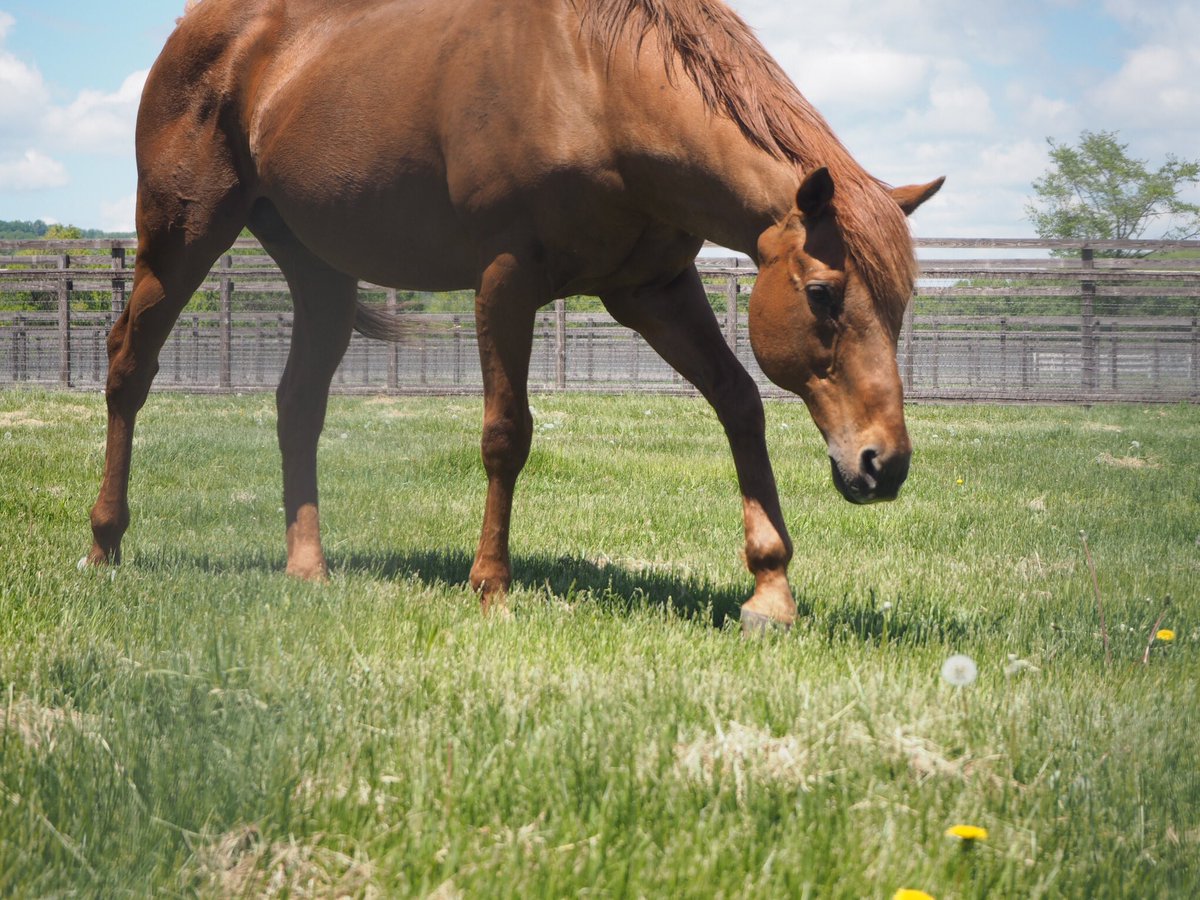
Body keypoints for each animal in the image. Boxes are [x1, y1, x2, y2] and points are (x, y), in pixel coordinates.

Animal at [87, 0, 945, 628]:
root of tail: (197, 29)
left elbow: (739, 403)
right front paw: (491, 585)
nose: (885, 463)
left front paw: (770, 589)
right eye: (823, 294)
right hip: (180, 237)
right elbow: (507, 434)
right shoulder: (504, 282)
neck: (591, 84)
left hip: (320, 272)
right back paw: (104, 544)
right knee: (129, 367)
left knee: (298, 404)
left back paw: (308, 568)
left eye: (901, 301)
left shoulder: (656, 290)